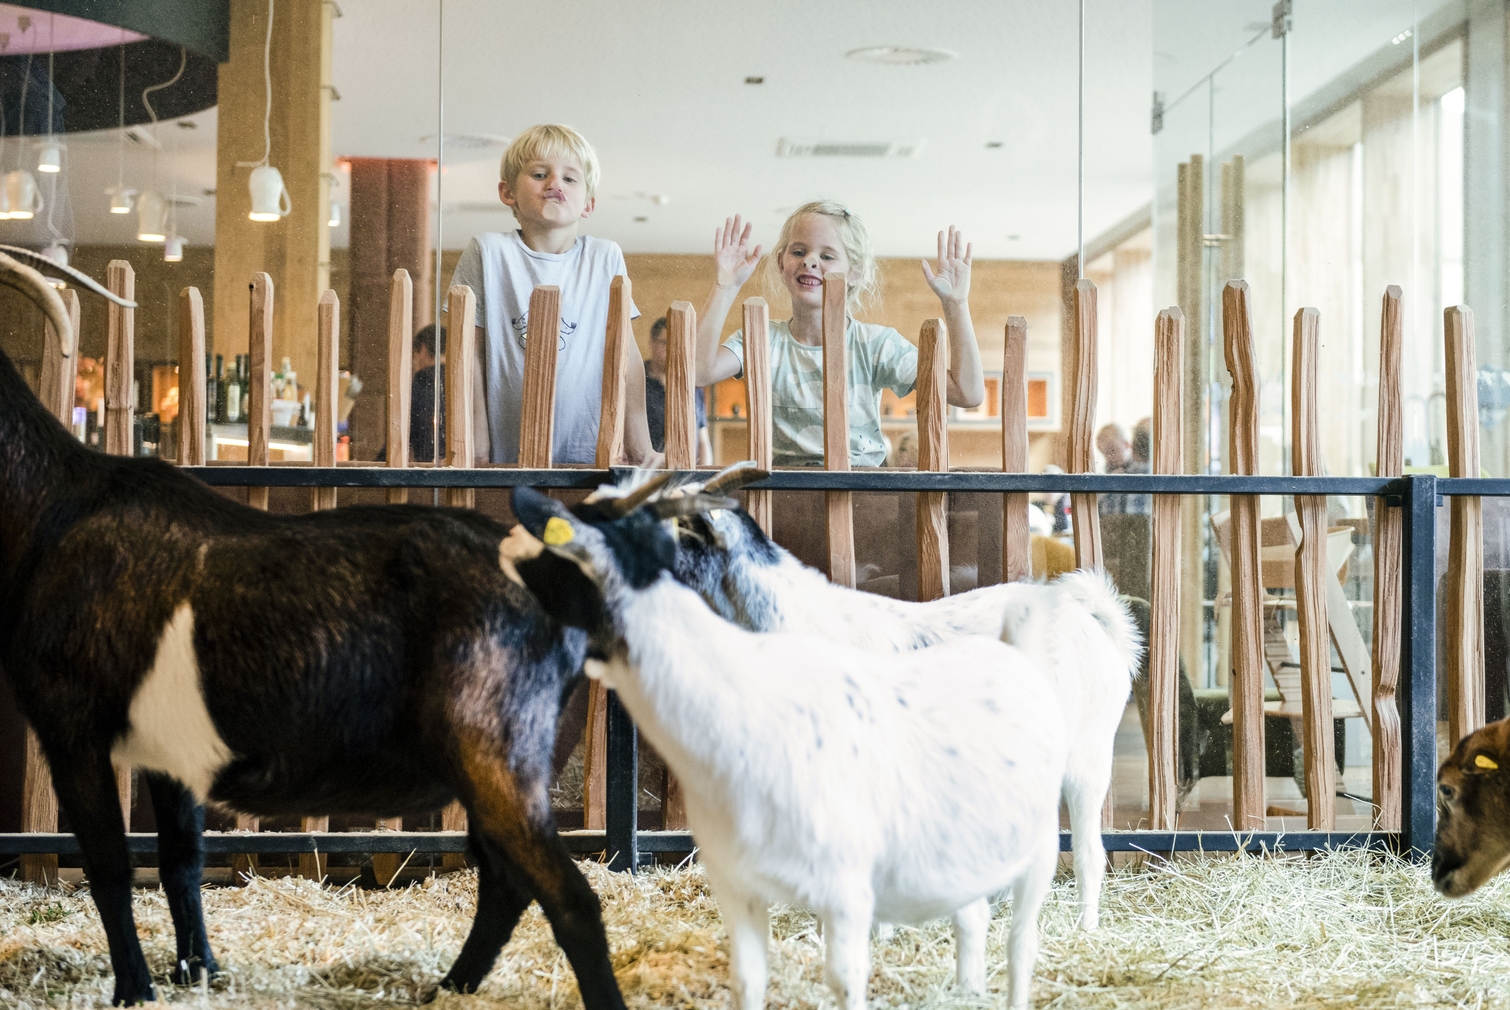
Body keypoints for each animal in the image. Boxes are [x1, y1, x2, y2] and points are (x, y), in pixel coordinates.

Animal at [0, 252, 636, 1009]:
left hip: (497, 748)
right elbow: (182, 860)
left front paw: (135, 989)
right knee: (506, 883)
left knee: (569, 898)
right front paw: (198, 972)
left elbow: (109, 866)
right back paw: (448, 987)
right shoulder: (167, 749)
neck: (53, 506)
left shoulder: (70, 722)